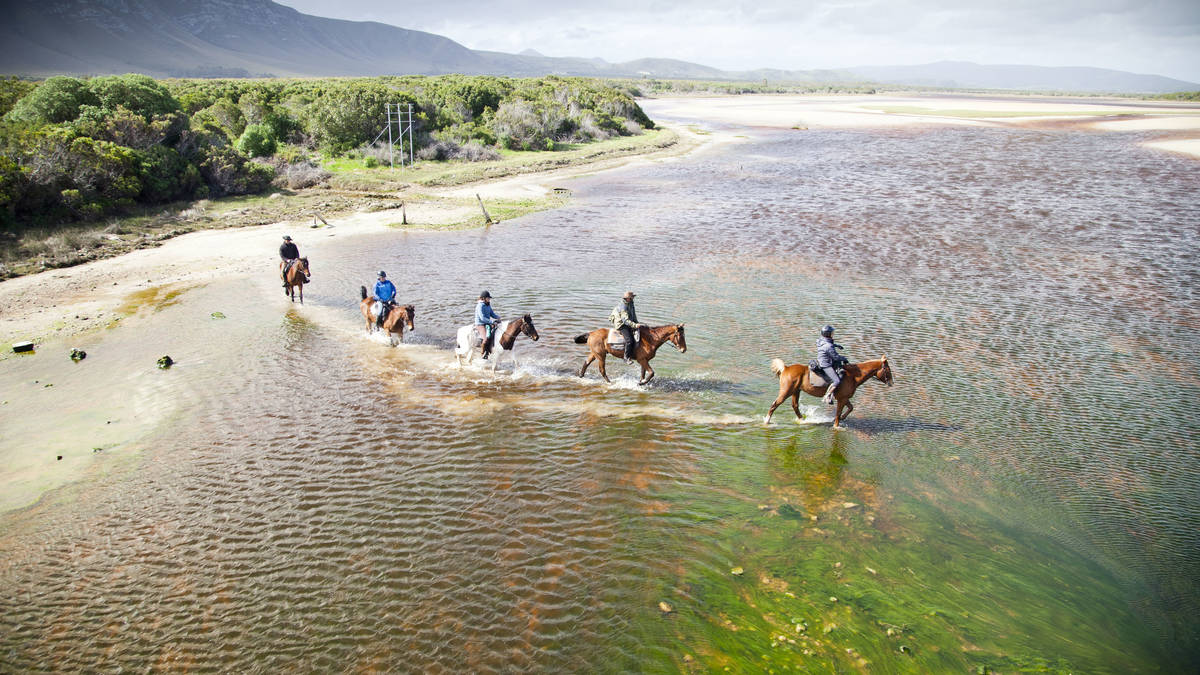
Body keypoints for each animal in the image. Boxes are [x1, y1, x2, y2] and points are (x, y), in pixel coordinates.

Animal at [764, 355, 893, 429]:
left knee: (795, 406)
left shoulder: (844, 398)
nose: (891, 383)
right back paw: (766, 422)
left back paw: (803, 420)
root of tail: (785, 368)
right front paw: (836, 425)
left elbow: (850, 408)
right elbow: (838, 414)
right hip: (786, 391)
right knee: (774, 405)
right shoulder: (842, 399)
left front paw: (842, 418)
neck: (853, 376)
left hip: (796, 391)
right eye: (887, 369)